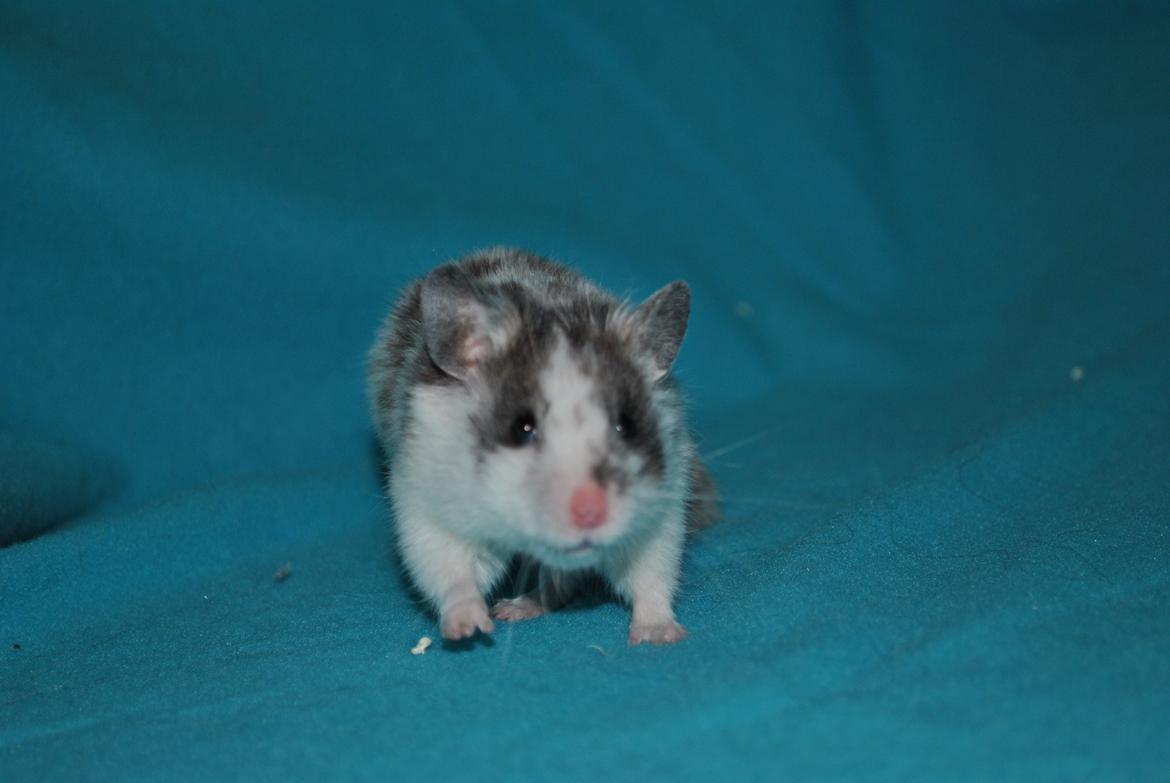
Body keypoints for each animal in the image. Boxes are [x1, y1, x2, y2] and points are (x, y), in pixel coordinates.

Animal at [367, 247, 717, 645]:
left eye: (626, 424)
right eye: (521, 427)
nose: (590, 513)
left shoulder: (661, 513)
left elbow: (651, 575)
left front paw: (659, 636)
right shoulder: (429, 507)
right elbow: (453, 572)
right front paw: (471, 628)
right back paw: (509, 610)